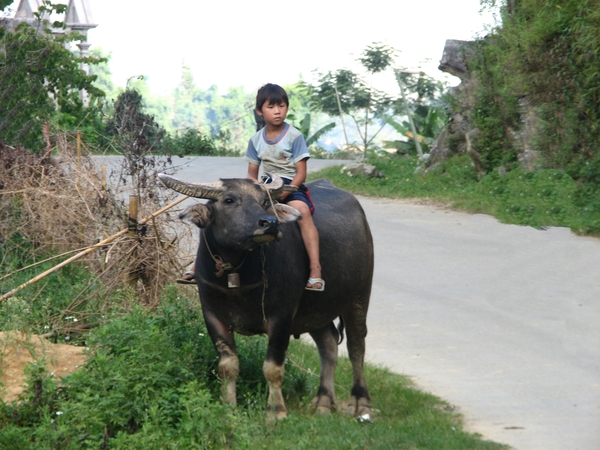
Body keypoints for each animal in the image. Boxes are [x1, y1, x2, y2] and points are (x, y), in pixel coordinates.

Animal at [159, 174, 376, 420]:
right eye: (229, 200)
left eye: (264, 201)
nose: (270, 223)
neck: (237, 275)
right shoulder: (212, 315)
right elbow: (227, 366)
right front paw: (228, 406)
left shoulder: (282, 317)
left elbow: (273, 367)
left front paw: (276, 411)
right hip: (316, 310)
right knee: (328, 343)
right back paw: (323, 402)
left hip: (360, 294)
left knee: (356, 346)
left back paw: (361, 403)